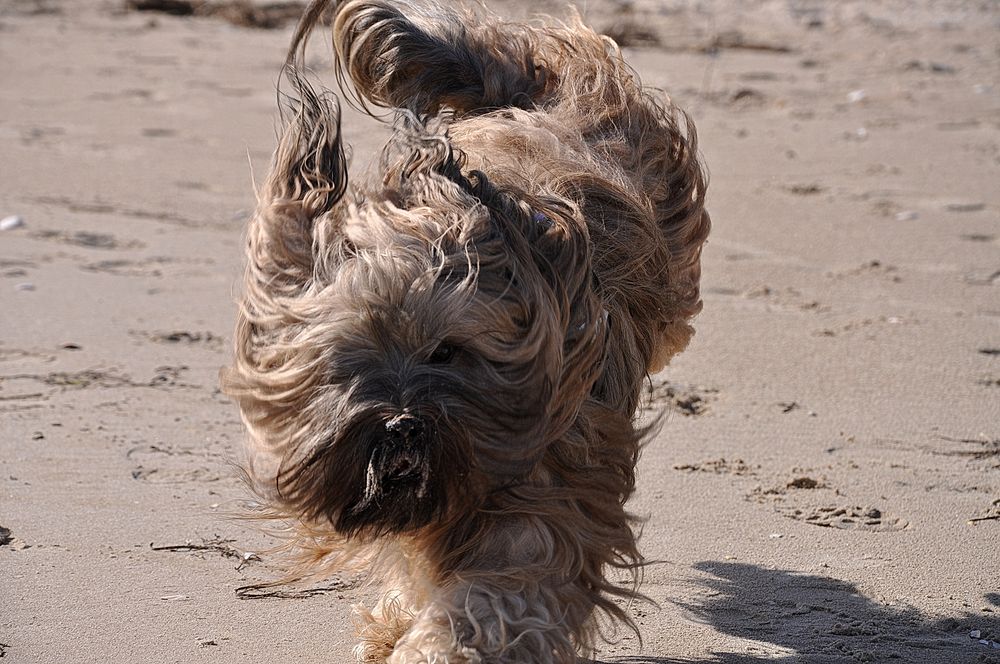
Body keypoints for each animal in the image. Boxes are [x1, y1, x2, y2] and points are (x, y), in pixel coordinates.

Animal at [225, 1, 712, 660]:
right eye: (348, 362)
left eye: (447, 352)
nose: (403, 425)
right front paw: (395, 625)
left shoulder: (546, 481)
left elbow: (503, 589)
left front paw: (437, 645)